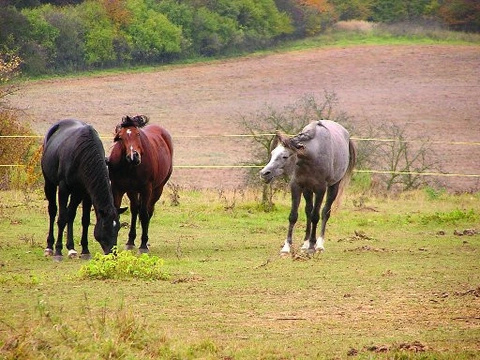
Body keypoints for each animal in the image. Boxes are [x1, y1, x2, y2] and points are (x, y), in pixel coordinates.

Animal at [40, 119, 125, 260]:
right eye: (105, 226)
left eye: (118, 227)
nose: (112, 253)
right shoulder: (63, 188)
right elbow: (62, 218)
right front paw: (58, 250)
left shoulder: (85, 192)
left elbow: (83, 219)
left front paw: (84, 250)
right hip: (49, 184)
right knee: (53, 211)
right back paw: (49, 247)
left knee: (70, 214)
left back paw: (71, 248)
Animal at [108, 115, 173, 253]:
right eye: (120, 137)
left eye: (138, 134)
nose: (134, 157)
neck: (130, 167)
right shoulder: (117, 188)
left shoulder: (146, 190)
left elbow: (144, 214)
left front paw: (143, 245)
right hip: (132, 191)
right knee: (134, 210)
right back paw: (130, 241)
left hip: (157, 190)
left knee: (148, 211)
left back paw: (145, 241)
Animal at [260, 120, 354, 253]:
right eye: (272, 153)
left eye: (285, 156)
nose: (264, 173)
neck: (312, 156)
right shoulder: (297, 186)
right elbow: (293, 216)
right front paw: (287, 246)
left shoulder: (320, 189)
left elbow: (316, 216)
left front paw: (312, 246)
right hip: (308, 190)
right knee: (308, 211)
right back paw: (305, 243)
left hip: (333, 187)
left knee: (325, 212)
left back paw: (319, 244)